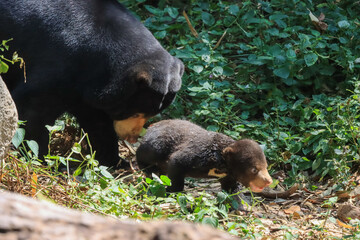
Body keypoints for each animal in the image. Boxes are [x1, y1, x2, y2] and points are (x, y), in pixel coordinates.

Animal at [0, 0, 184, 167]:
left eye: (151, 114)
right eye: (136, 112)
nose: (132, 138)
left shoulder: (87, 89)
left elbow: (98, 124)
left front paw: (116, 161)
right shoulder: (60, 65)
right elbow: (32, 111)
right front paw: (42, 160)